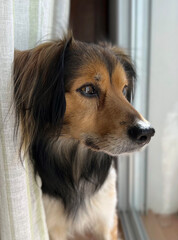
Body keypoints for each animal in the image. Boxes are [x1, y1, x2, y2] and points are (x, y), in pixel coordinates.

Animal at [13, 32, 155, 240]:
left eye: (123, 89)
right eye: (88, 90)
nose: (147, 132)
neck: (77, 163)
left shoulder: (107, 220)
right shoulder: (54, 227)